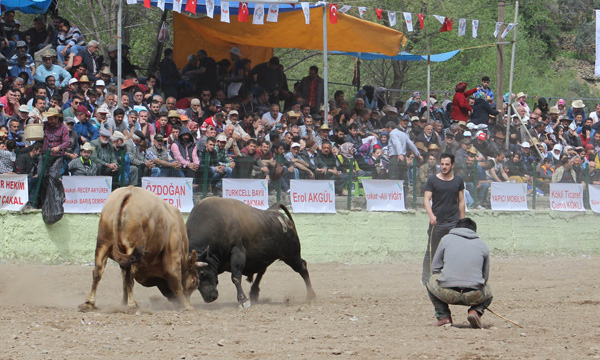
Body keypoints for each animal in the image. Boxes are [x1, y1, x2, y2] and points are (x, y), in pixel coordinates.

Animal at [186, 197, 318, 306]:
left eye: (202, 273)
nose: (210, 298)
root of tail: (277, 213)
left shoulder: (237, 251)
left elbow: (235, 277)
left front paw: (243, 300)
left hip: (291, 255)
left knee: (302, 268)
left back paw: (310, 296)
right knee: (262, 270)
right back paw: (254, 293)